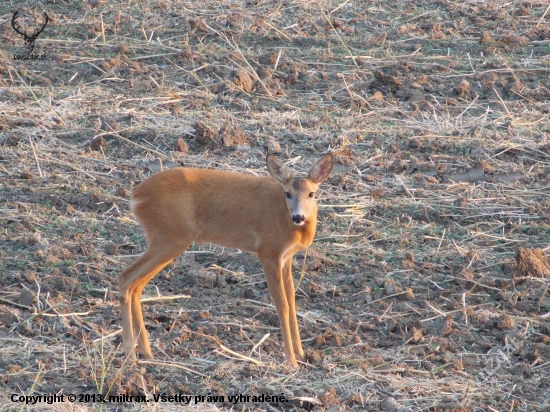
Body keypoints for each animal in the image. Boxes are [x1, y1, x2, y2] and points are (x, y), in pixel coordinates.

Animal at [119, 154, 334, 366]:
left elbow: (291, 302)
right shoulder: (268, 252)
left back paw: (146, 352)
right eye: (288, 193)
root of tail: (136, 195)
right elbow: (282, 306)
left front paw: (301, 354)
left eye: (311, 193)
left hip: (166, 240)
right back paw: (130, 353)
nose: (298, 217)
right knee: (125, 278)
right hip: (171, 238)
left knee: (136, 285)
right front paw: (291, 362)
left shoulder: (286, 258)